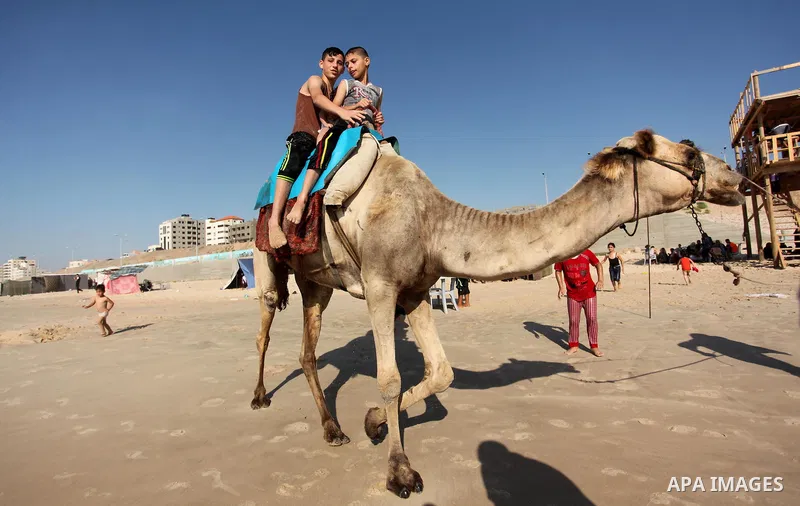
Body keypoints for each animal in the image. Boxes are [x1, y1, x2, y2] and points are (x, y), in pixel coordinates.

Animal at [250, 129, 745, 498]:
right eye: (688, 152)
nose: (738, 180)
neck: (432, 223)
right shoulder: (380, 286)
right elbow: (390, 379)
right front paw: (399, 471)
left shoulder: (415, 290)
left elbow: (443, 372)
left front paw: (373, 421)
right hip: (269, 261)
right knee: (266, 325)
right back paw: (259, 398)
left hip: (316, 282)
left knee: (308, 350)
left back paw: (332, 429)